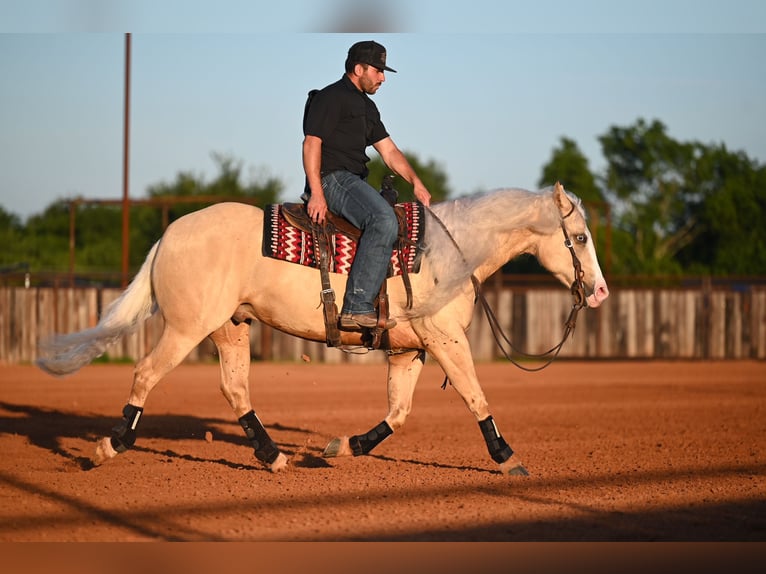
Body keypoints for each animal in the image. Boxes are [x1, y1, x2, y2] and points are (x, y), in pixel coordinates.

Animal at [36, 181, 609, 475]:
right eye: (580, 237)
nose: (600, 292)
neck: (448, 252)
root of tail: (170, 232)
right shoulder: (446, 340)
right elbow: (475, 396)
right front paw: (508, 458)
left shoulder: (410, 350)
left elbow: (397, 413)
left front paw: (343, 446)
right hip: (185, 327)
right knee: (146, 374)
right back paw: (109, 447)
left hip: (229, 327)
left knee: (234, 388)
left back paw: (273, 457)